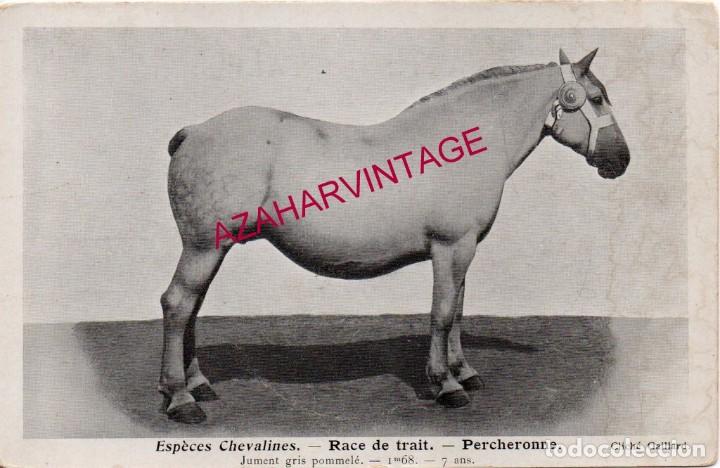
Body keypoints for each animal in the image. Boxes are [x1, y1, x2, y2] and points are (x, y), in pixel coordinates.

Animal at [159, 48, 630, 423]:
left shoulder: (464, 250)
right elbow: (442, 314)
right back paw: (180, 399)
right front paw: (445, 385)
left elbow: (458, 311)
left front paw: (464, 372)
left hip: (212, 249)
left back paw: (199, 384)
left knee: (192, 308)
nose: (621, 159)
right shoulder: (451, 247)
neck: (463, 144)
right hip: (203, 247)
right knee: (178, 305)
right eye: (596, 98)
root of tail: (193, 131)